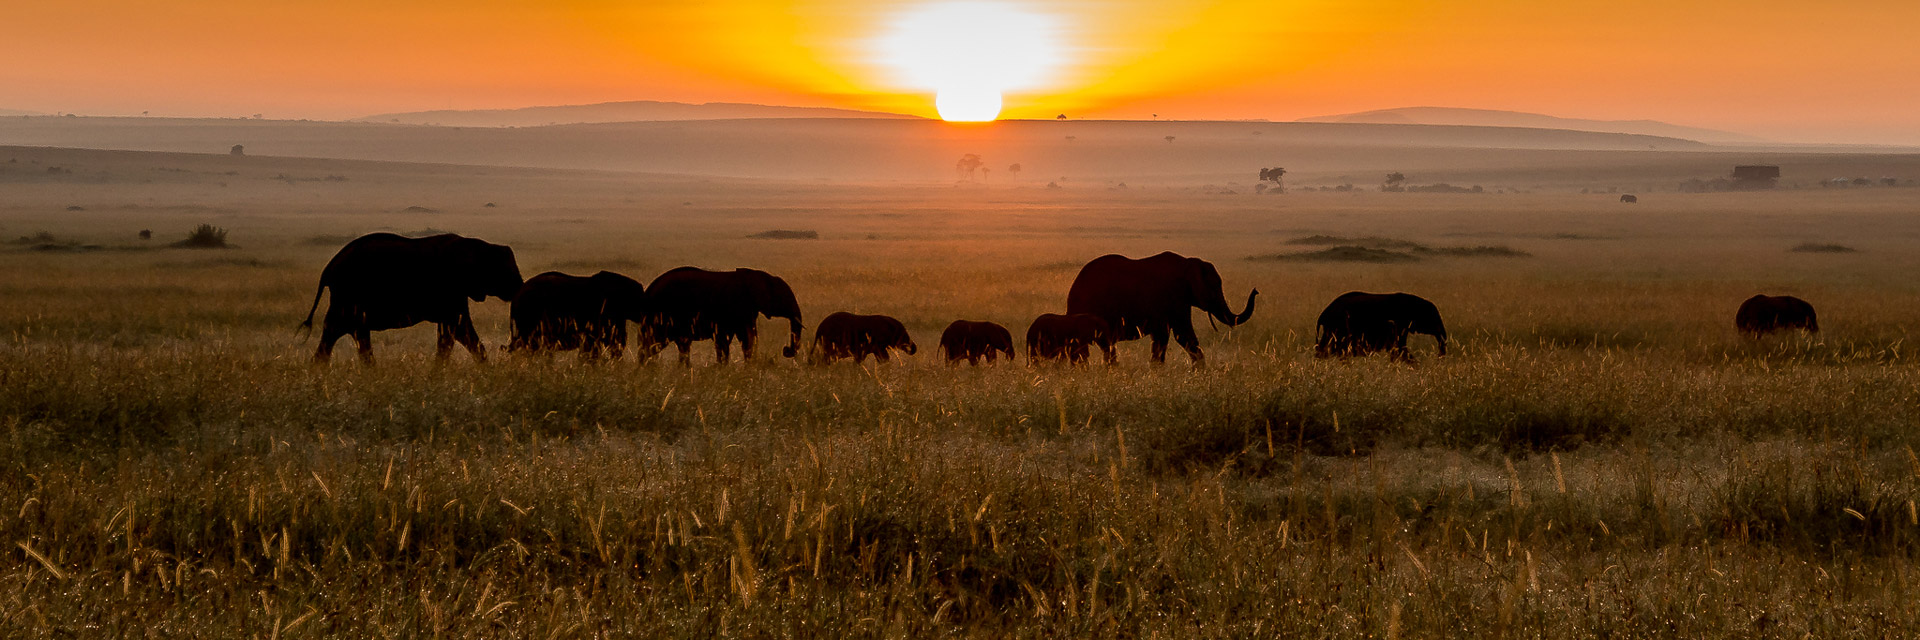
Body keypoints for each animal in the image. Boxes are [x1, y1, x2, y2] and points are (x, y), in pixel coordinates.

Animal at [301, 231, 526, 361]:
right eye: (505, 271)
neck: (478, 245)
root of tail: (329, 267)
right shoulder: (450, 287)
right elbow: (453, 330)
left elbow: (457, 331)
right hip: (349, 294)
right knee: (346, 331)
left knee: (343, 333)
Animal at [641, 265, 798, 363]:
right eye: (784, 298)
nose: (786, 350)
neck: (757, 274)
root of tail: (648, 289)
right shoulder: (735, 307)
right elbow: (732, 339)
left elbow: (748, 339)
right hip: (662, 315)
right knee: (655, 344)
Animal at [1313, 290, 1443, 359]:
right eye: (1434, 318)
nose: (1439, 357)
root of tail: (1323, 314)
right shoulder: (1400, 322)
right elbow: (1399, 348)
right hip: (1336, 327)